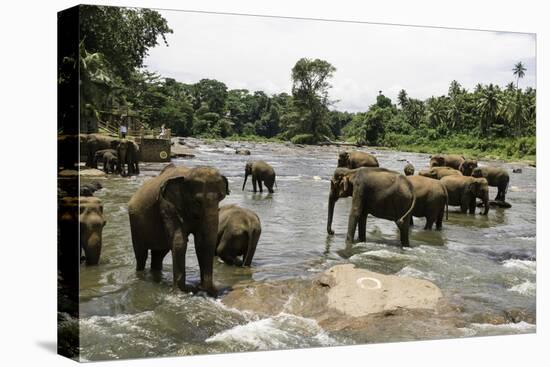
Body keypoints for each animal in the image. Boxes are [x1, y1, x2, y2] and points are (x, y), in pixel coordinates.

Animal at [128, 164, 231, 296]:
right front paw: (181, 293)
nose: (211, 291)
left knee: (159, 255)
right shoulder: (167, 206)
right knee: (141, 255)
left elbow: (202, 242)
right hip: (135, 224)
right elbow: (179, 242)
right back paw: (141, 276)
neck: (187, 173)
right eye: (197, 201)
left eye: (221, 198)